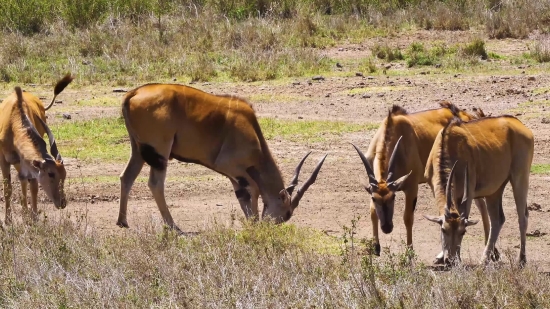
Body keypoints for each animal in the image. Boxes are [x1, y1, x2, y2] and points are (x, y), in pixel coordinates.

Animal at [0, 74, 73, 224]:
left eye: (64, 175)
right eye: (51, 174)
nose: (62, 203)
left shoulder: (28, 162)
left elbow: (33, 186)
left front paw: (33, 218)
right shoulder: (3, 160)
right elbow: (7, 188)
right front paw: (8, 220)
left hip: (20, 162)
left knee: (24, 181)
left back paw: (26, 214)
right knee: (22, 180)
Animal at [117, 82, 328, 231]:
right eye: (286, 213)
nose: (269, 225)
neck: (251, 130)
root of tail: (133, 93)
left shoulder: (234, 174)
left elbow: (243, 194)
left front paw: (251, 222)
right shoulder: (230, 166)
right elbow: (253, 189)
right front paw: (254, 223)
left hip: (138, 150)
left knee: (126, 177)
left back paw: (122, 221)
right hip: (160, 153)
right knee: (155, 184)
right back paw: (173, 225)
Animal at [354, 102, 488, 256]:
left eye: (393, 197)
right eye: (374, 199)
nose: (387, 227)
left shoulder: (411, 187)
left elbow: (408, 218)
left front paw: (410, 253)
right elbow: (372, 212)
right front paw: (376, 246)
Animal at [424, 115, 536, 264]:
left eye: (463, 232)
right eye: (444, 230)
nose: (451, 260)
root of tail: (520, 124)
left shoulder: (469, 191)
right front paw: (440, 256)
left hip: (520, 177)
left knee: (522, 217)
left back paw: (521, 259)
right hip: (494, 190)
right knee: (498, 219)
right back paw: (485, 258)